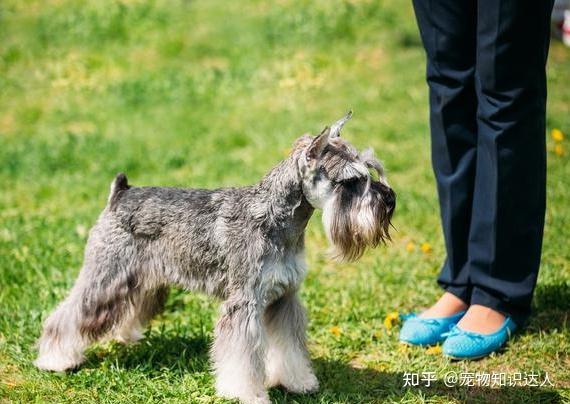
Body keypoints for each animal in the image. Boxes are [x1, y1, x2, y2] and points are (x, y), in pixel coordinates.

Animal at [34, 111, 390, 404]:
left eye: (371, 171)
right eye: (351, 181)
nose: (389, 200)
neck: (277, 218)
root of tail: (120, 193)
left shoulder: (284, 298)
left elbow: (289, 347)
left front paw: (298, 382)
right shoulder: (243, 303)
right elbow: (241, 357)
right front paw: (246, 394)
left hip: (142, 279)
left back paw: (124, 336)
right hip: (106, 276)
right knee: (70, 314)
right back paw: (56, 360)